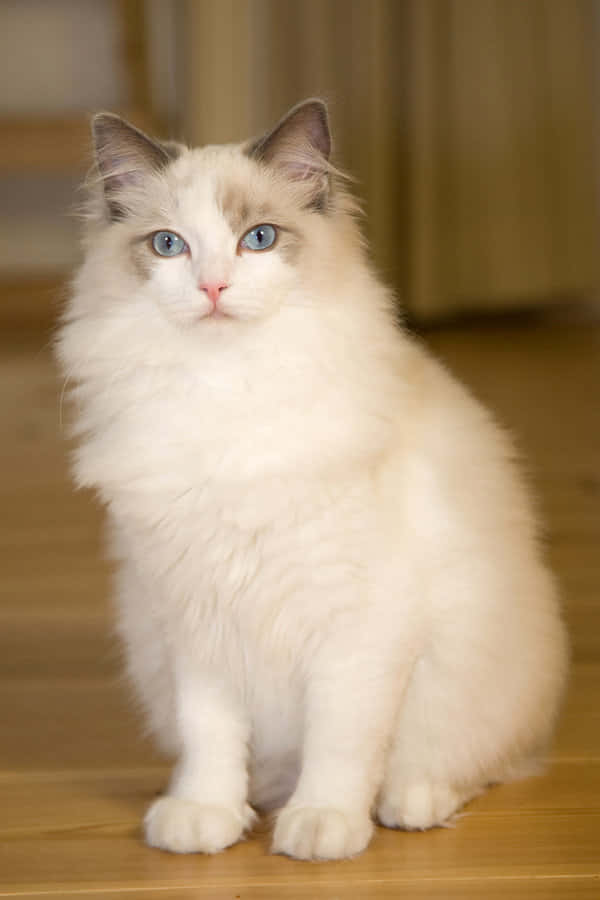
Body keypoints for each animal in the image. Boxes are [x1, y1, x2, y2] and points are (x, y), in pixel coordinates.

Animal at [56, 96, 568, 856]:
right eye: (169, 246)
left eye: (260, 238)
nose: (213, 287)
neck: (225, 395)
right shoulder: (197, 618)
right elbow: (211, 736)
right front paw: (205, 817)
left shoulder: (355, 628)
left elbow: (339, 743)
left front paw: (323, 824)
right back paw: (255, 802)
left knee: (467, 764)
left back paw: (408, 804)